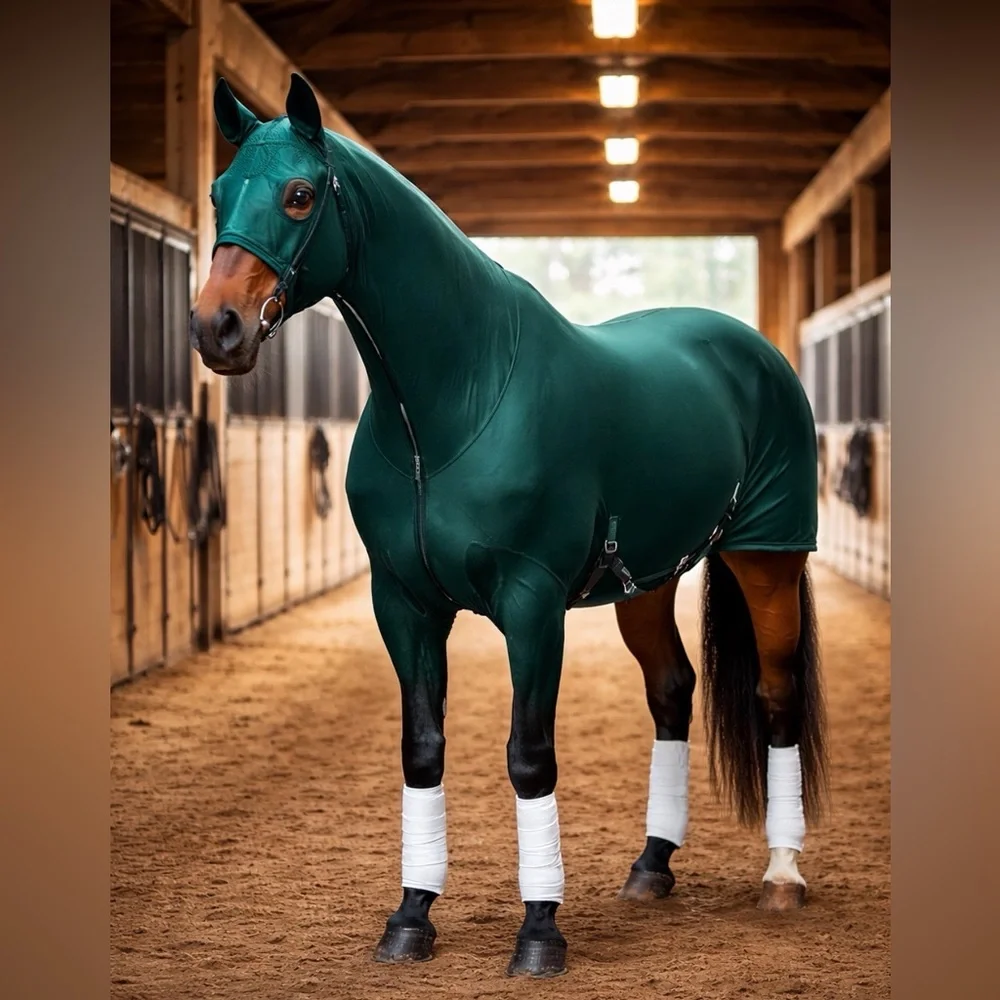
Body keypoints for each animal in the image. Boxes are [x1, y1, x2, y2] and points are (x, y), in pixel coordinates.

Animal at [190, 73, 829, 979]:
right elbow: (423, 748)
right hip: (646, 582)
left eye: (300, 194)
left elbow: (530, 758)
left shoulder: (531, 605)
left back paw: (782, 876)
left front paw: (539, 933)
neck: (446, 407)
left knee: (777, 698)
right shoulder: (405, 604)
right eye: (217, 193)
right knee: (672, 692)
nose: (218, 328)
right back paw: (652, 866)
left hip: (766, 560)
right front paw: (410, 918)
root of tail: (753, 351)